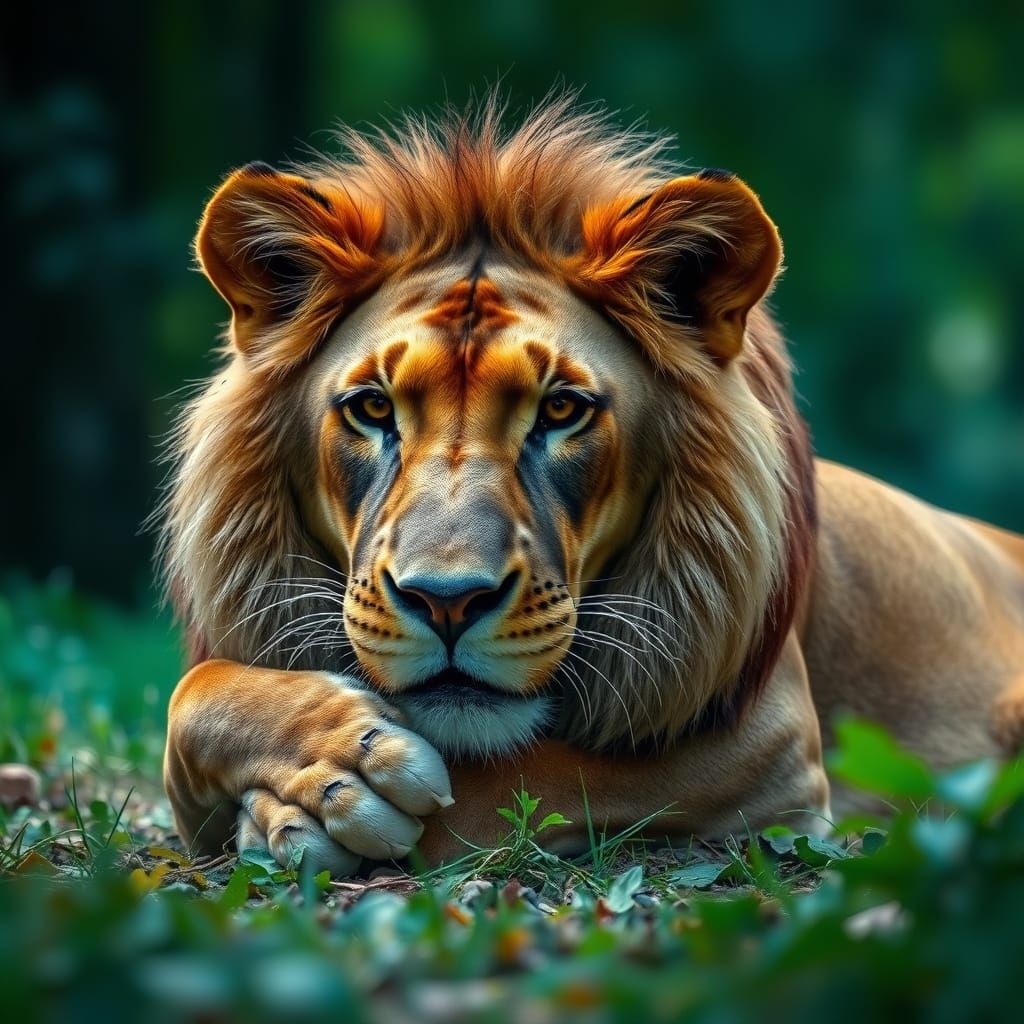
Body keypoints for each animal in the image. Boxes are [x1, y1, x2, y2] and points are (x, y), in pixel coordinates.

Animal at [160, 96, 1024, 874]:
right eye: (374, 408)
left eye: (561, 410)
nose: (447, 602)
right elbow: (191, 695)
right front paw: (328, 765)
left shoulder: (769, 741)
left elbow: (513, 782)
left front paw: (325, 791)